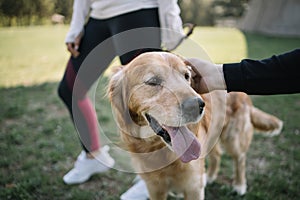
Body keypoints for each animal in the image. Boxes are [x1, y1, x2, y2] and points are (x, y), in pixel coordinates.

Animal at [108, 52, 284, 200]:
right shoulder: (155, 189)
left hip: (233, 139)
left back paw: (239, 185)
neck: (158, 149)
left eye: (186, 76)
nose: (197, 105)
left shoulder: (194, 187)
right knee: (217, 155)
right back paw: (210, 177)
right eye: (153, 82)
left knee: (240, 159)